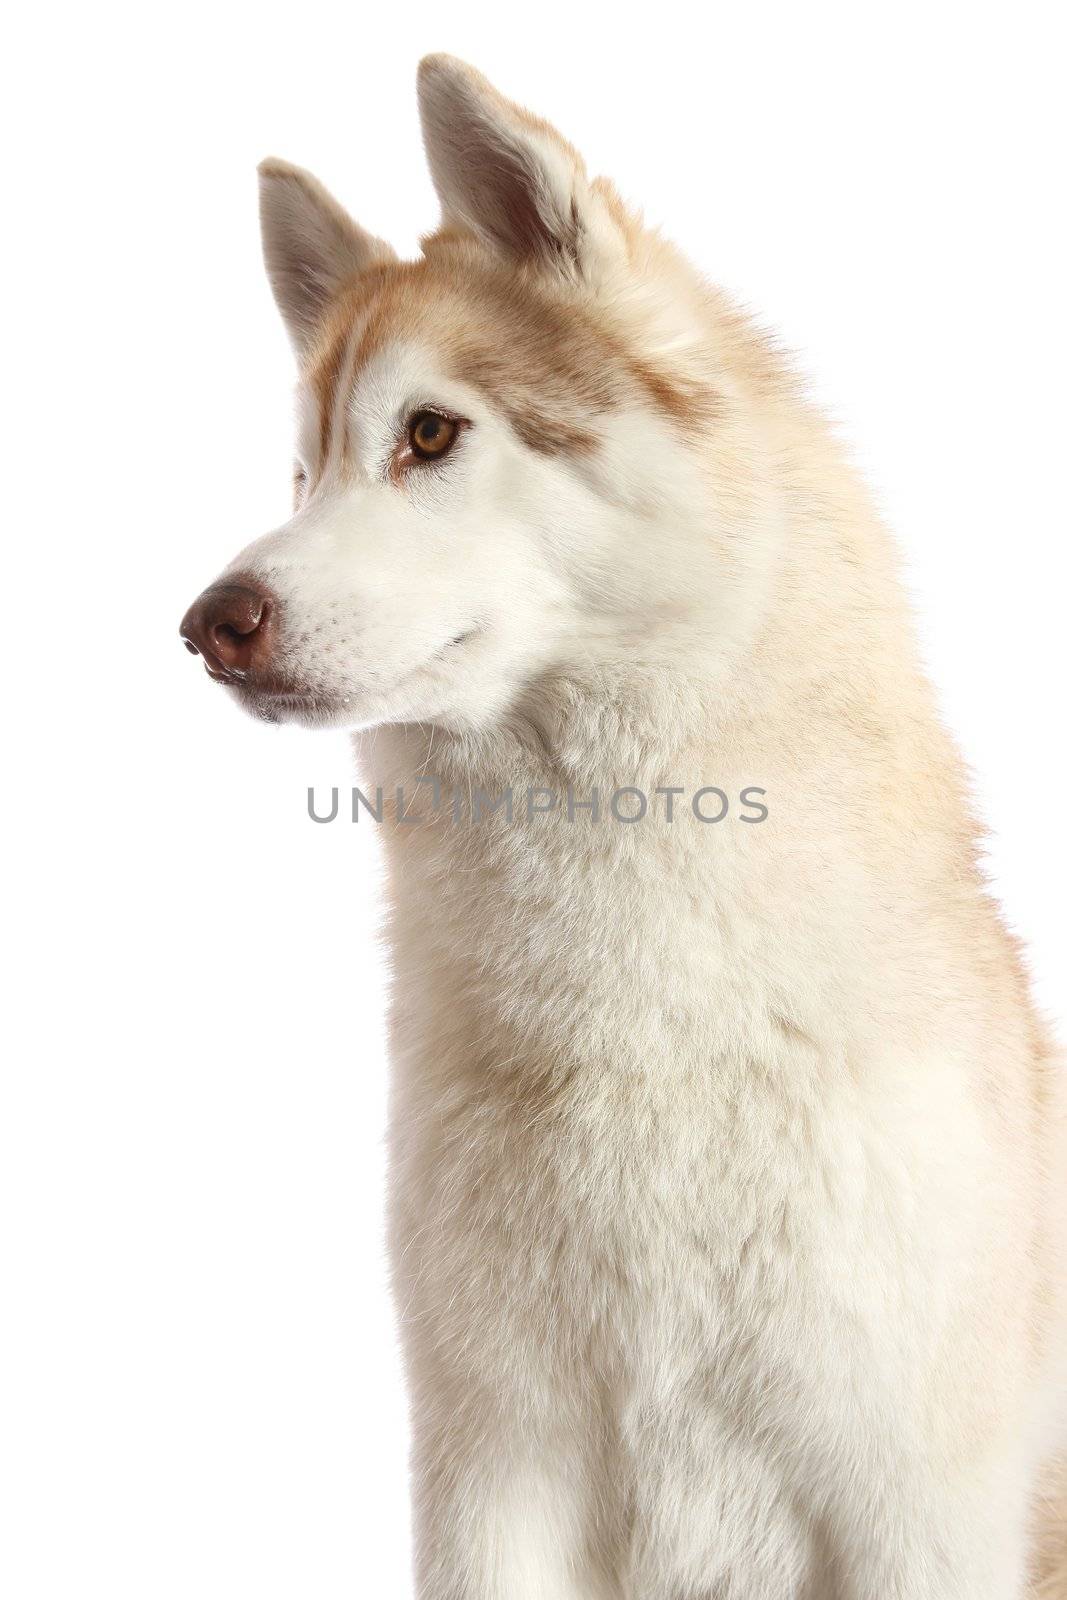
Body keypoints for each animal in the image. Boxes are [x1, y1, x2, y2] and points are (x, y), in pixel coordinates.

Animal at [183, 56, 1067, 1593]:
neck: (640, 1028)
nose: (208, 622)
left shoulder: (911, 1512)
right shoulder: (493, 1472)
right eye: (301, 474)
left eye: (427, 433)